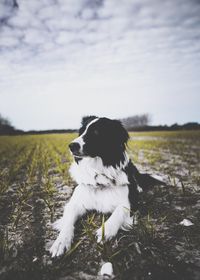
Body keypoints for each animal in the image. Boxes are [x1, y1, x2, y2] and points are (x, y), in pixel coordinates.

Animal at [49, 116, 163, 258]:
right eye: (81, 131)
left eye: (96, 132)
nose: (71, 145)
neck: (99, 171)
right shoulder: (75, 203)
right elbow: (68, 221)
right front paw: (60, 242)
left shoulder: (129, 202)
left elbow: (118, 212)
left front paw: (106, 231)